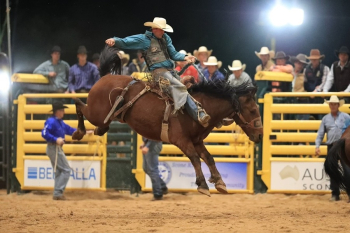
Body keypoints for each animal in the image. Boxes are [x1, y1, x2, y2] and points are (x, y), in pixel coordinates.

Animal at [72, 46, 262, 196]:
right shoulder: (181, 140)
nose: (260, 136)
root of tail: (104, 77)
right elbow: (195, 158)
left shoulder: (197, 140)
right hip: (95, 112)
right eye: (253, 110)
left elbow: (208, 157)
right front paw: (202, 185)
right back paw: (79, 132)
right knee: (79, 104)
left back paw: (98, 130)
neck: (199, 107)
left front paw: (219, 182)